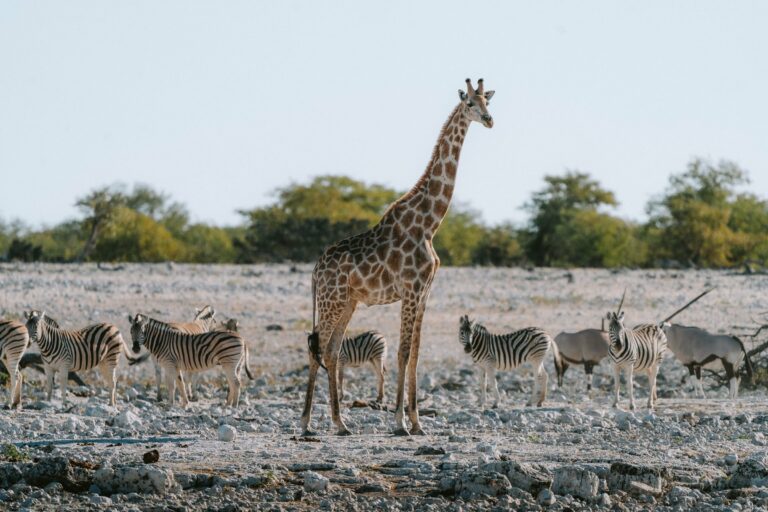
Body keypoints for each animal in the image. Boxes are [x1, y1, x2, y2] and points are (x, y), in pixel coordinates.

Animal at [301, 78, 495, 436]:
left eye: (487, 102)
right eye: (470, 104)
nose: (489, 120)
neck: (430, 223)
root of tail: (315, 271)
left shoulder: (425, 291)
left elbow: (416, 353)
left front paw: (417, 423)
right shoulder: (411, 289)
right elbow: (403, 353)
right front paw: (400, 422)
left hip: (348, 301)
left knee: (331, 350)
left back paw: (340, 423)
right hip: (331, 300)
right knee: (315, 346)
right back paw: (307, 423)